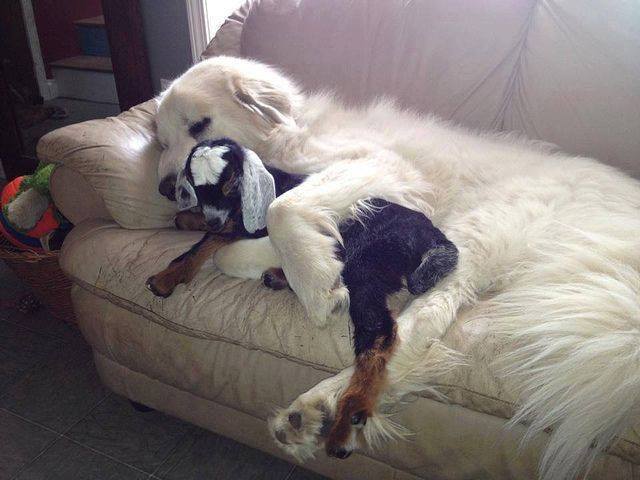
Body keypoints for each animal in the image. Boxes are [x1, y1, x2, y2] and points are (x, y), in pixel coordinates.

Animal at [146, 138, 456, 458]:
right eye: (196, 185)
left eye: (231, 183)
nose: (213, 218)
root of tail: (435, 238)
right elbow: (202, 237)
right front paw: (181, 234)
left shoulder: (244, 226)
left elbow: (209, 244)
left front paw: (170, 272)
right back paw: (277, 276)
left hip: (364, 261)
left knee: (379, 331)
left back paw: (349, 418)